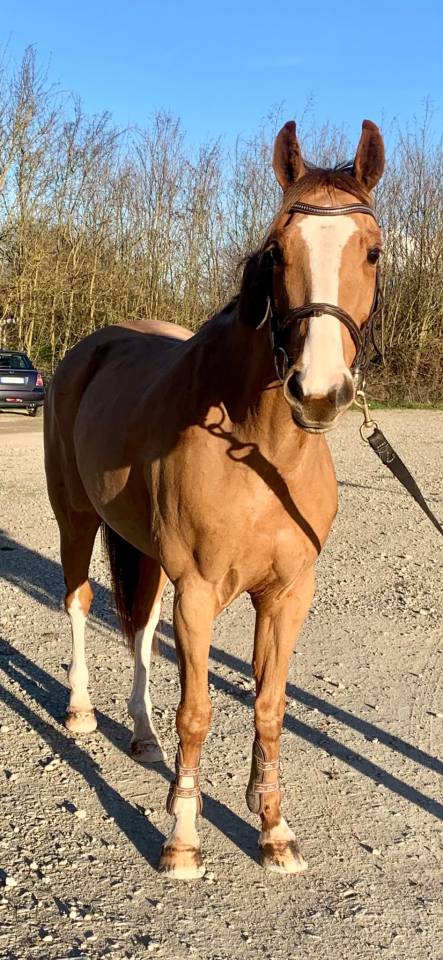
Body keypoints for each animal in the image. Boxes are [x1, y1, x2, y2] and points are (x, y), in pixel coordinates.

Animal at [44, 118, 385, 879]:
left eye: (373, 252)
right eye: (276, 251)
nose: (319, 392)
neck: (260, 455)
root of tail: (88, 348)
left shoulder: (287, 594)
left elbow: (269, 706)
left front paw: (274, 830)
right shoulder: (199, 590)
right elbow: (197, 712)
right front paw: (182, 838)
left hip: (138, 545)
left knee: (139, 626)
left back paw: (141, 737)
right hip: (75, 519)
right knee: (79, 602)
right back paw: (80, 713)